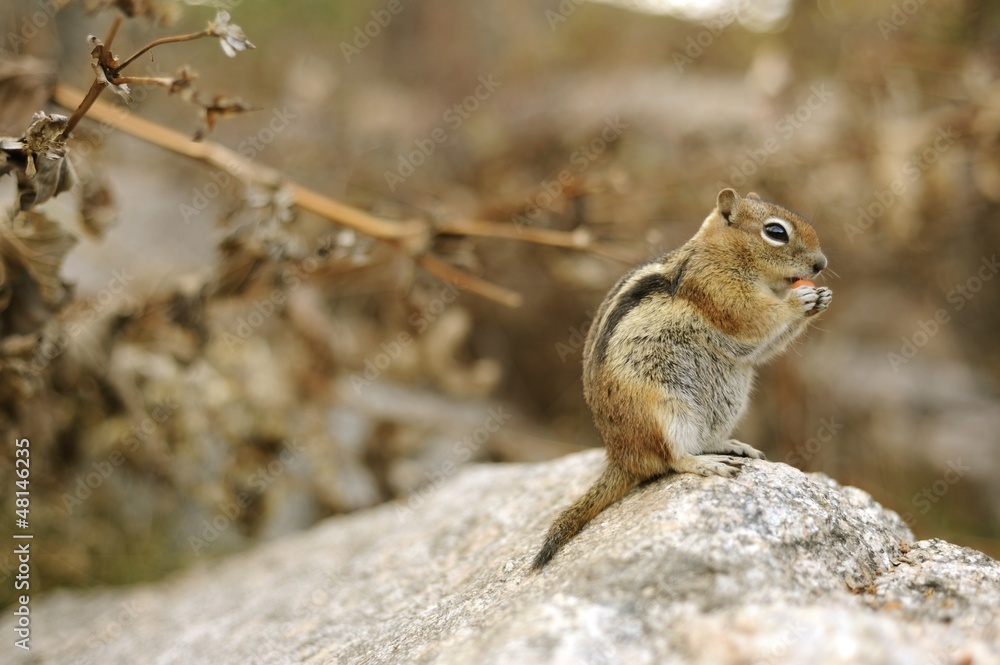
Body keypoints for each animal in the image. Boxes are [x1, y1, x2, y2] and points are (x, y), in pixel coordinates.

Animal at [531, 188, 832, 570]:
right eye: (776, 232)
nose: (821, 264)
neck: (721, 253)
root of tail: (621, 457)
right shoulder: (719, 290)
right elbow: (756, 316)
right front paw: (800, 299)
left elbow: (763, 346)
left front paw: (822, 298)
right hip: (664, 410)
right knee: (674, 458)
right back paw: (708, 464)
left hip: (727, 401)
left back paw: (731, 446)